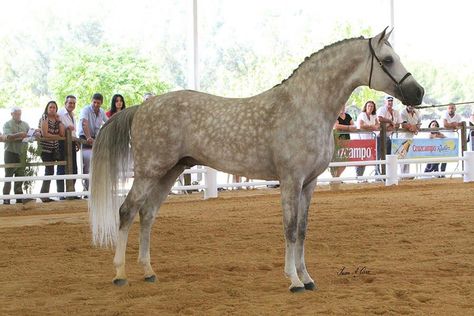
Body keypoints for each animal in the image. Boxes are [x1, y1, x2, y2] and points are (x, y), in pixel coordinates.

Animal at [90, 28, 426, 292]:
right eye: (388, 60)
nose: (418, 93)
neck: (305, 106)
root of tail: (141, 107)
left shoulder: (309, 184)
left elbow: (302, 230)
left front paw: (307, 278)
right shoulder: (290, 181)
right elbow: (289, 228)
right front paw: (294, 281)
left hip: (170, 172)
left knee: (147, 214)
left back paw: (148, 272)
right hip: (149, 171)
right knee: (126, 211)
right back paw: (120, 274)